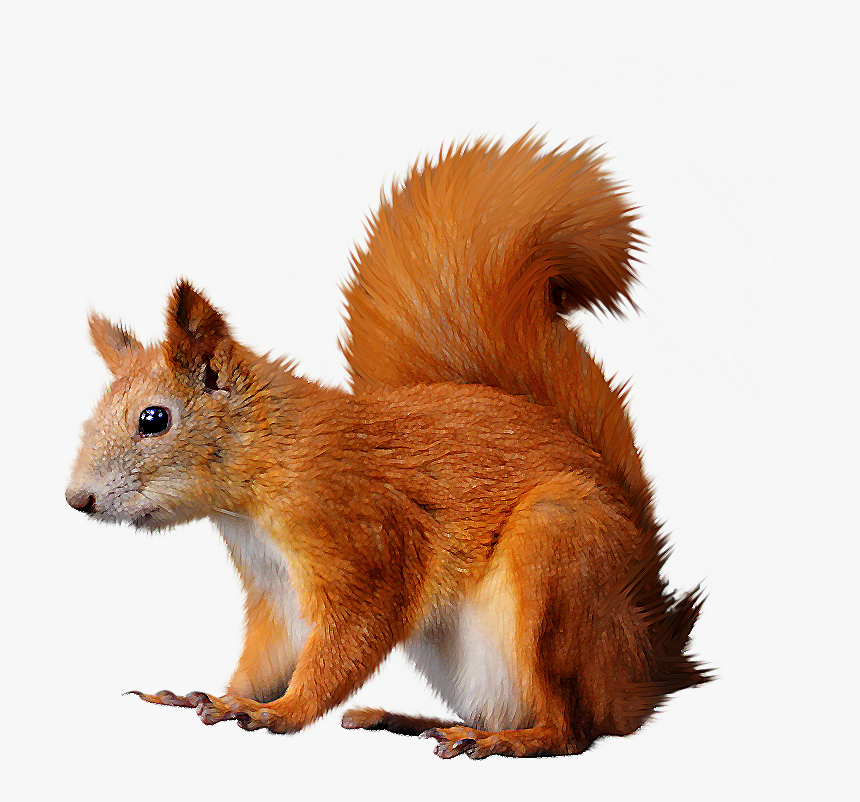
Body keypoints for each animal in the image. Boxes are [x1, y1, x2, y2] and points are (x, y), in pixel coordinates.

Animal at [66, 135, 708, 759]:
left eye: (154, 420)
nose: (78, 500)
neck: (265, 468)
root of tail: (644, 665)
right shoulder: (273, 588)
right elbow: (269, 654)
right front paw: (222, 697)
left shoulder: (359, 536)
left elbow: (352, 634)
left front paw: (281, 712)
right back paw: (410, 720)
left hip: (559, 558)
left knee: (573, 729)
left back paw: (502, 740)